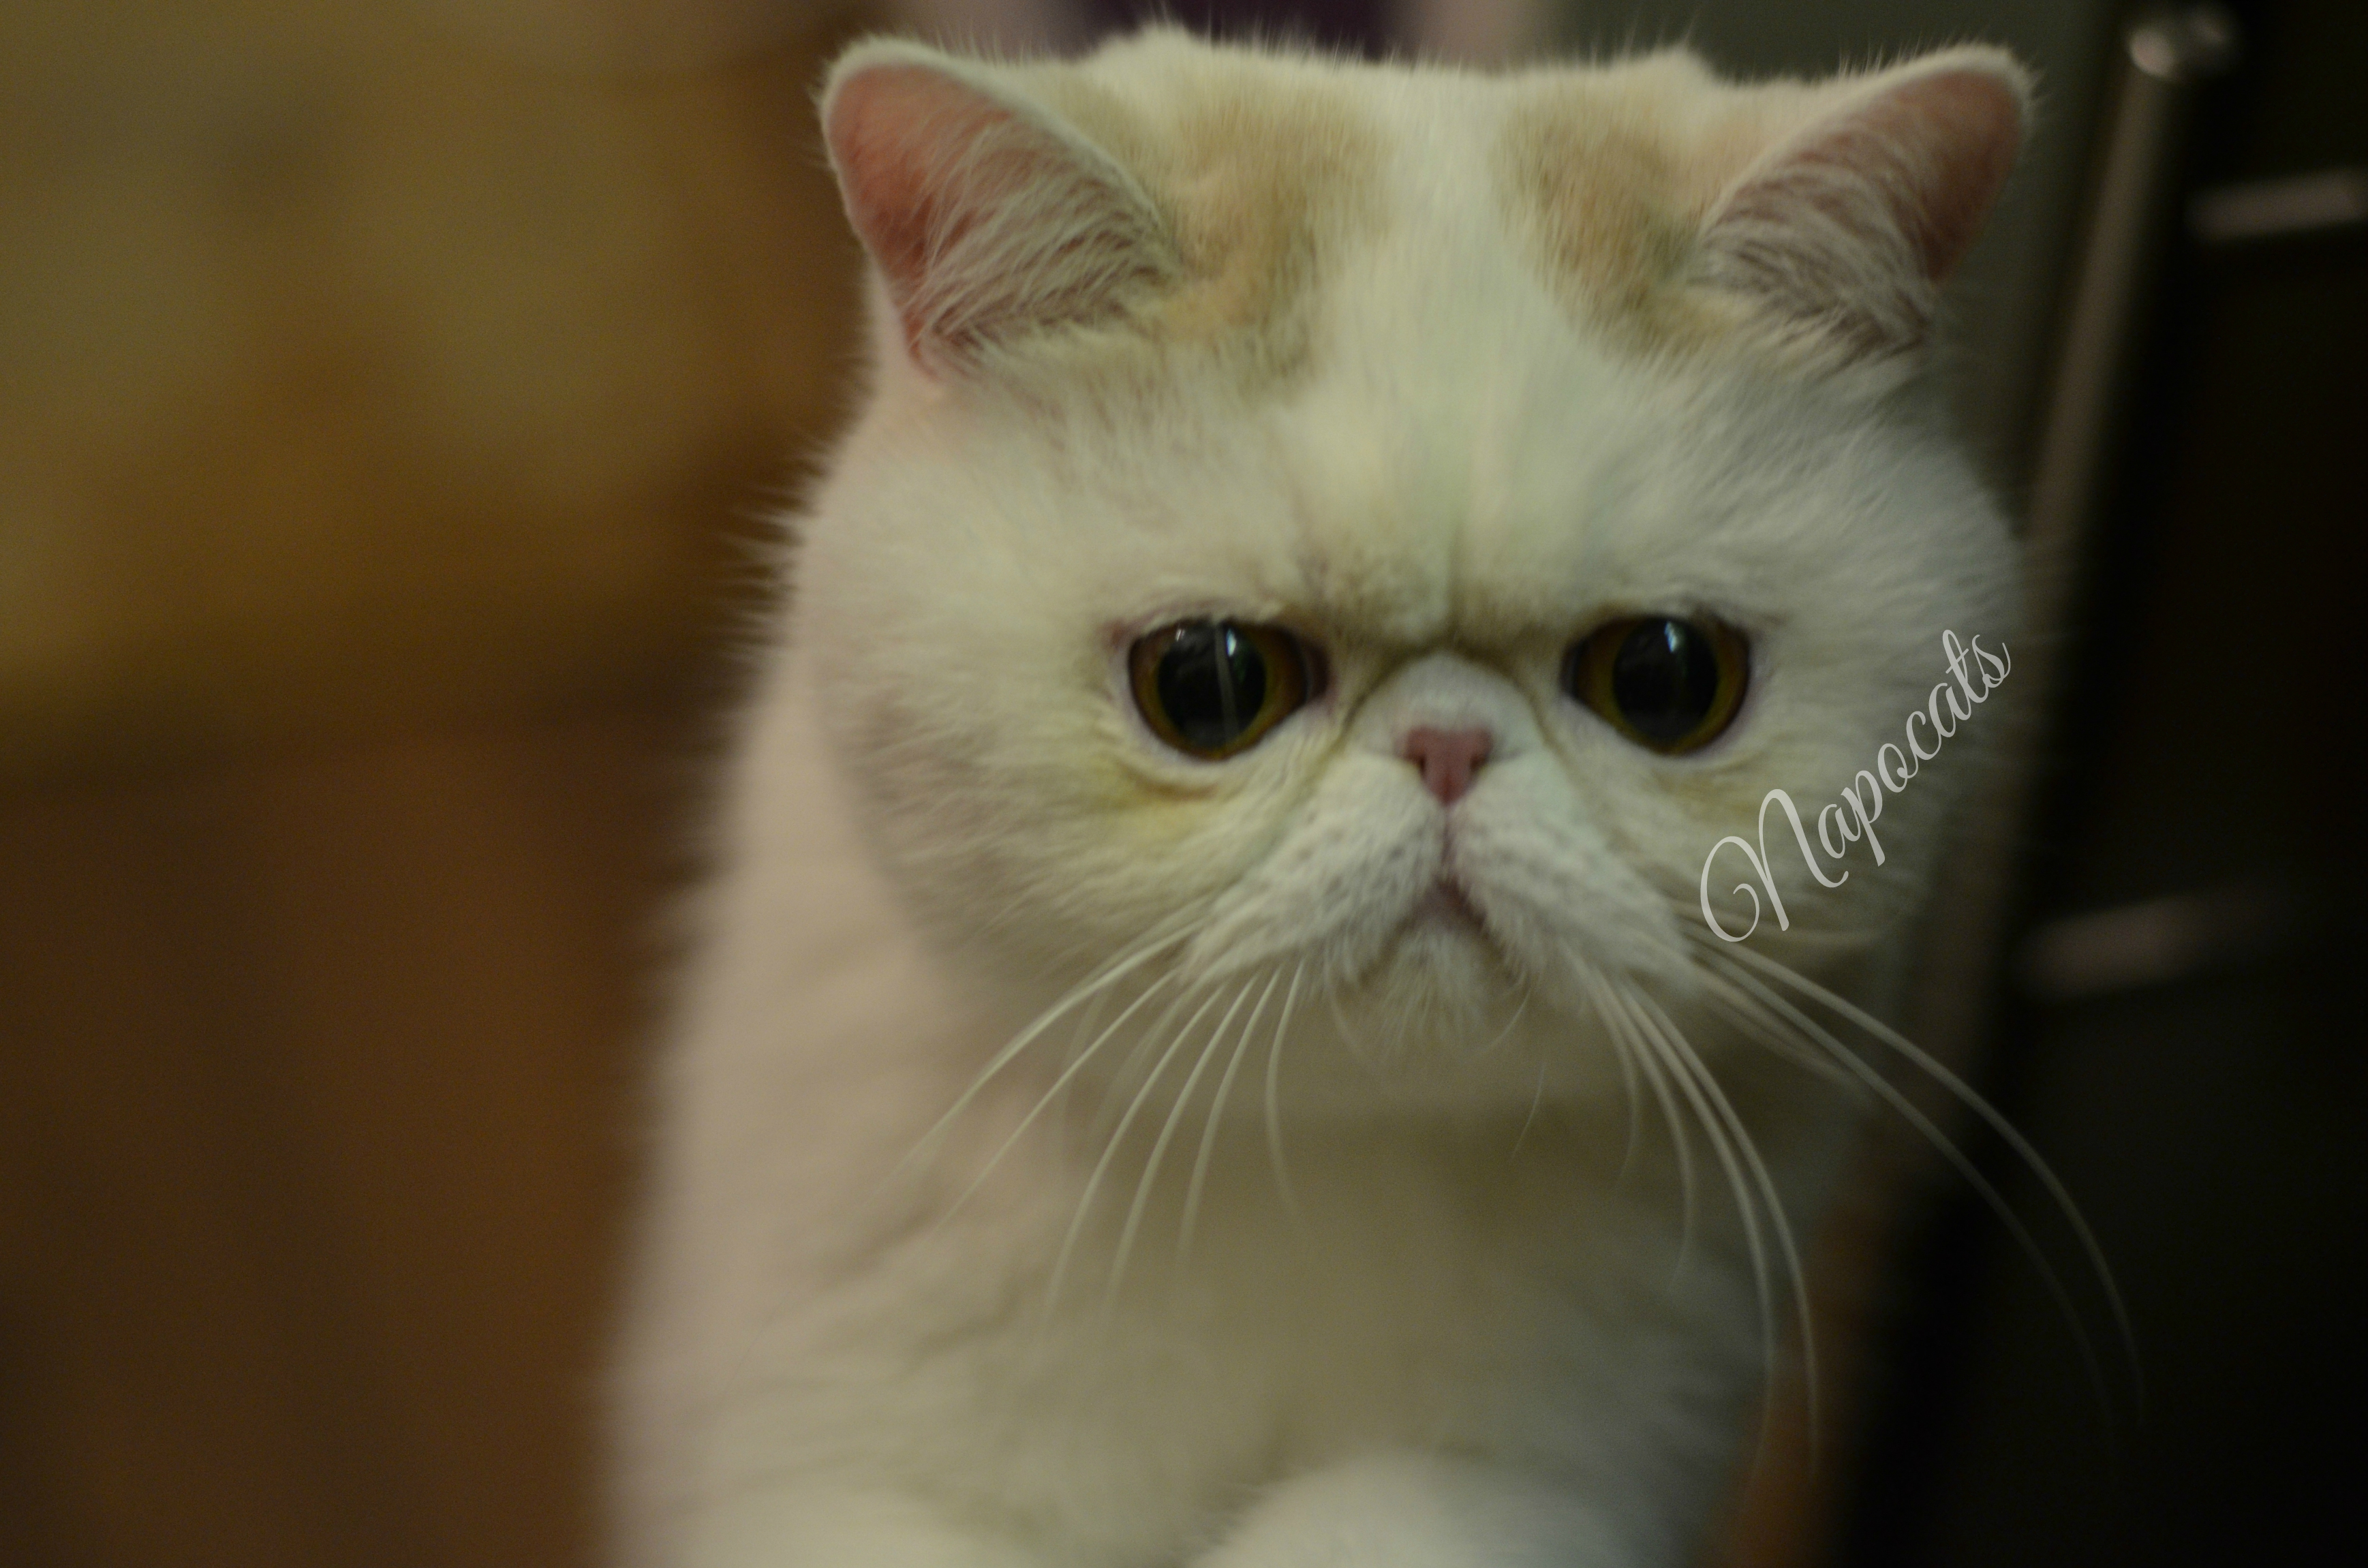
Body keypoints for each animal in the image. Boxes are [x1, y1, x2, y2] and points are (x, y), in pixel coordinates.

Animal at [611, 21, 2055, 1568]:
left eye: (1668, 678)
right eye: (1208, 684)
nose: (1446, 747)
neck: (1316, 1161)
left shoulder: (1548, 1469)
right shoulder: (838, 1450)